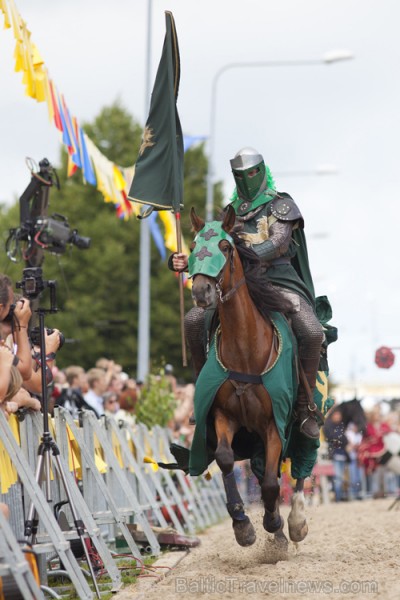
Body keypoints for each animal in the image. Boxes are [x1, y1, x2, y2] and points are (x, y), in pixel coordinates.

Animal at [188, 206, 310, 548]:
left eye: (225, 247)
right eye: (192, 247)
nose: (201, 291)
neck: (245, 350)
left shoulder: (274, 425)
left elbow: (270, 483)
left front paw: (273, 521)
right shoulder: (223, 417)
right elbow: (225, 458)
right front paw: (243, 525)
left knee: (299, 465)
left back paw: (294, 522)